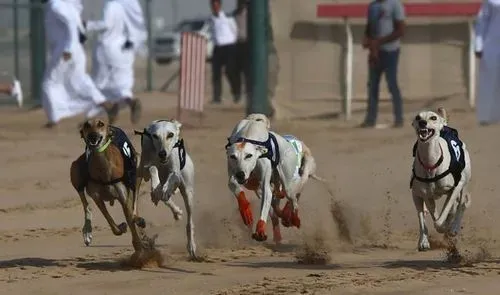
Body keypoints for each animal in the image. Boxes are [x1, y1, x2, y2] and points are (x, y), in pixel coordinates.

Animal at [71, 118, 147, 252]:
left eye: (100, 124)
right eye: (86, 125)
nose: (93, 135)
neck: (103, 168)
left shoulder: (123, 197)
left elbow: (130, 217)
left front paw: (138, 243)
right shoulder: (97, 198)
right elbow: (110, 220)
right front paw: (121, 228)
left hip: (138, 164)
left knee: (135, 200)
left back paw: (139, 221)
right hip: (74, 169)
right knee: (86, 206)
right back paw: (87, 232)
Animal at [134, 119, 198, 260]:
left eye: (170, 135)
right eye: (155, 136)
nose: (162, 153)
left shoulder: (175, 172)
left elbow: (173, 177)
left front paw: (164, 189)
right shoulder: (144, 170)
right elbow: (152, 168)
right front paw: (157, 188)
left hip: (188, 192)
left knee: (190, 221)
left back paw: (191, 246)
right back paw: (173, 208)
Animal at [226, 115, 320, 243]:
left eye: (249, 155)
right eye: (233, 156)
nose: (240, 174)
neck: (248, 134)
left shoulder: (265, 182)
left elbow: (267, 196)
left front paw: (260, 228)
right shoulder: (234, 176)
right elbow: (235, 186)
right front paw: (246, 211)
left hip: (287, 184)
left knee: (293, 200)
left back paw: (294, 218)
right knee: (276, 208)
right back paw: (280, 227)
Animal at [408, 108, 470, 252]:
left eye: (433, 117)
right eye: (417, 117)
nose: (423, 123)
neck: (430, 163)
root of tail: (445, 125)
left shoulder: (455, 187)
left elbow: (444, 213)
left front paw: (447, 226)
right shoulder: (426, 195)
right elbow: (433, 215)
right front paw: (426, 240)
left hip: (464, 183)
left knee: (462, 204)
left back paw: (453, 228)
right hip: (416, 195)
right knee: (422, 215)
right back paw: (424, 241)